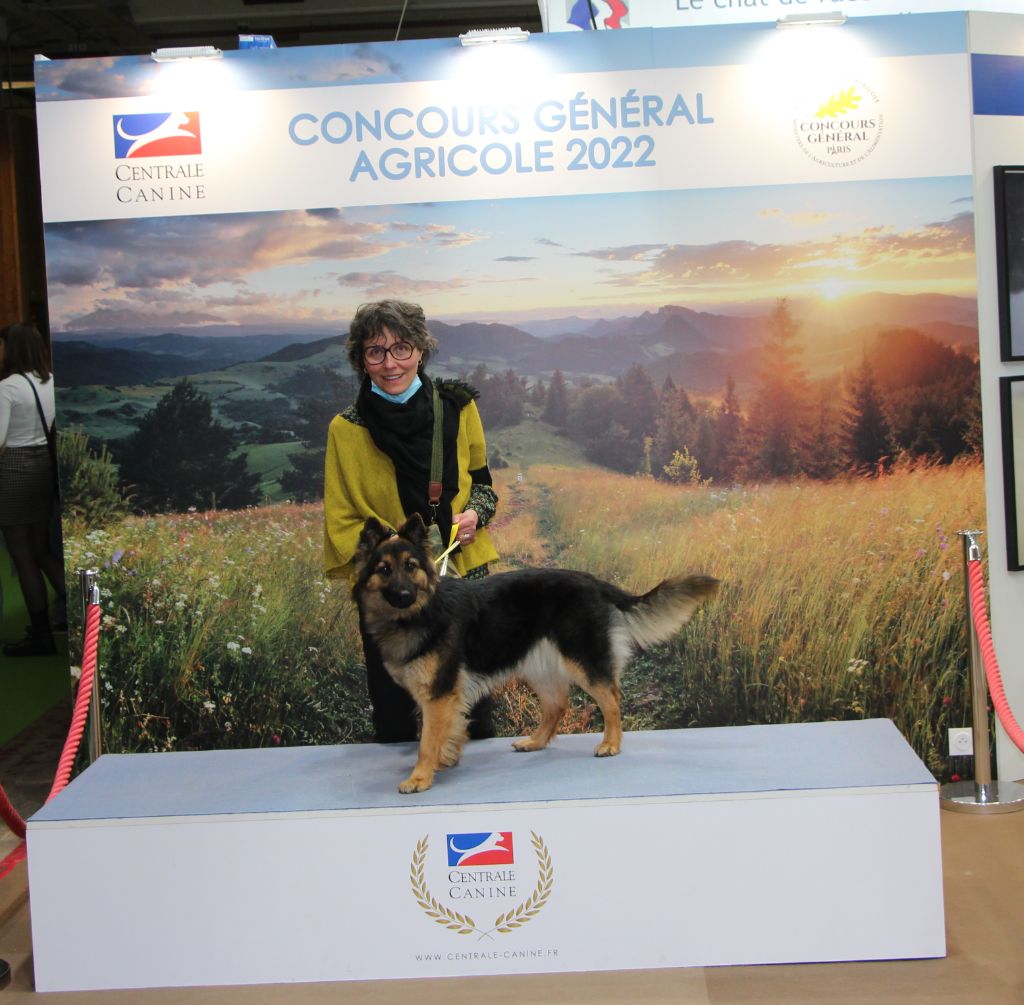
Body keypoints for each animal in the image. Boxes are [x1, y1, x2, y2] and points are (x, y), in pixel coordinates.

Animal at [352, 518, 720, 790]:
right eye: (384, 570)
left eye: (411, 566)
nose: (403, 594)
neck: (422, 612)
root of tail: (592, 581)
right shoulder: (442, 696)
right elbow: (447, 731)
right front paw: (445, 760)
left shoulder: (438, 694)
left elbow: (427, 741)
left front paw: (420, 776)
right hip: (539, 667)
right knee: (558, 705)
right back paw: (536, 742)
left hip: (582, 660)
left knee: (612, 699)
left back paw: (611, 744)